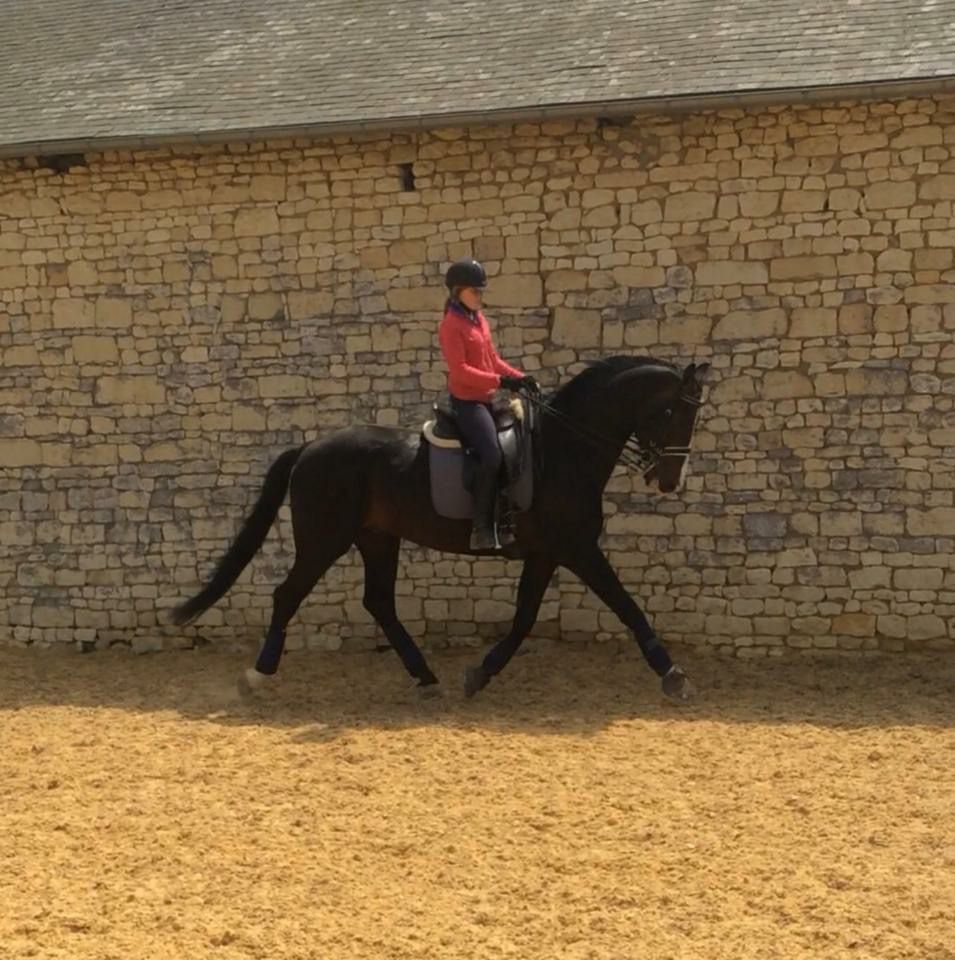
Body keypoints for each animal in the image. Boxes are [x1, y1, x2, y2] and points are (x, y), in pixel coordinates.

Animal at [171, 356, 710, 702]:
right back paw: (256, 677)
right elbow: (625, 605)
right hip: (325, 540)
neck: (563, 450)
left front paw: (479, 674)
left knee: (379, 603)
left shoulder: (546, 553)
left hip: (377, 538)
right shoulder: (577, 548)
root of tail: (309, 448)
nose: (670, 480)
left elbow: (524, 619)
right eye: (672, 411)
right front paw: (673, 675)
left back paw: (426, 677)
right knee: (288, 595)